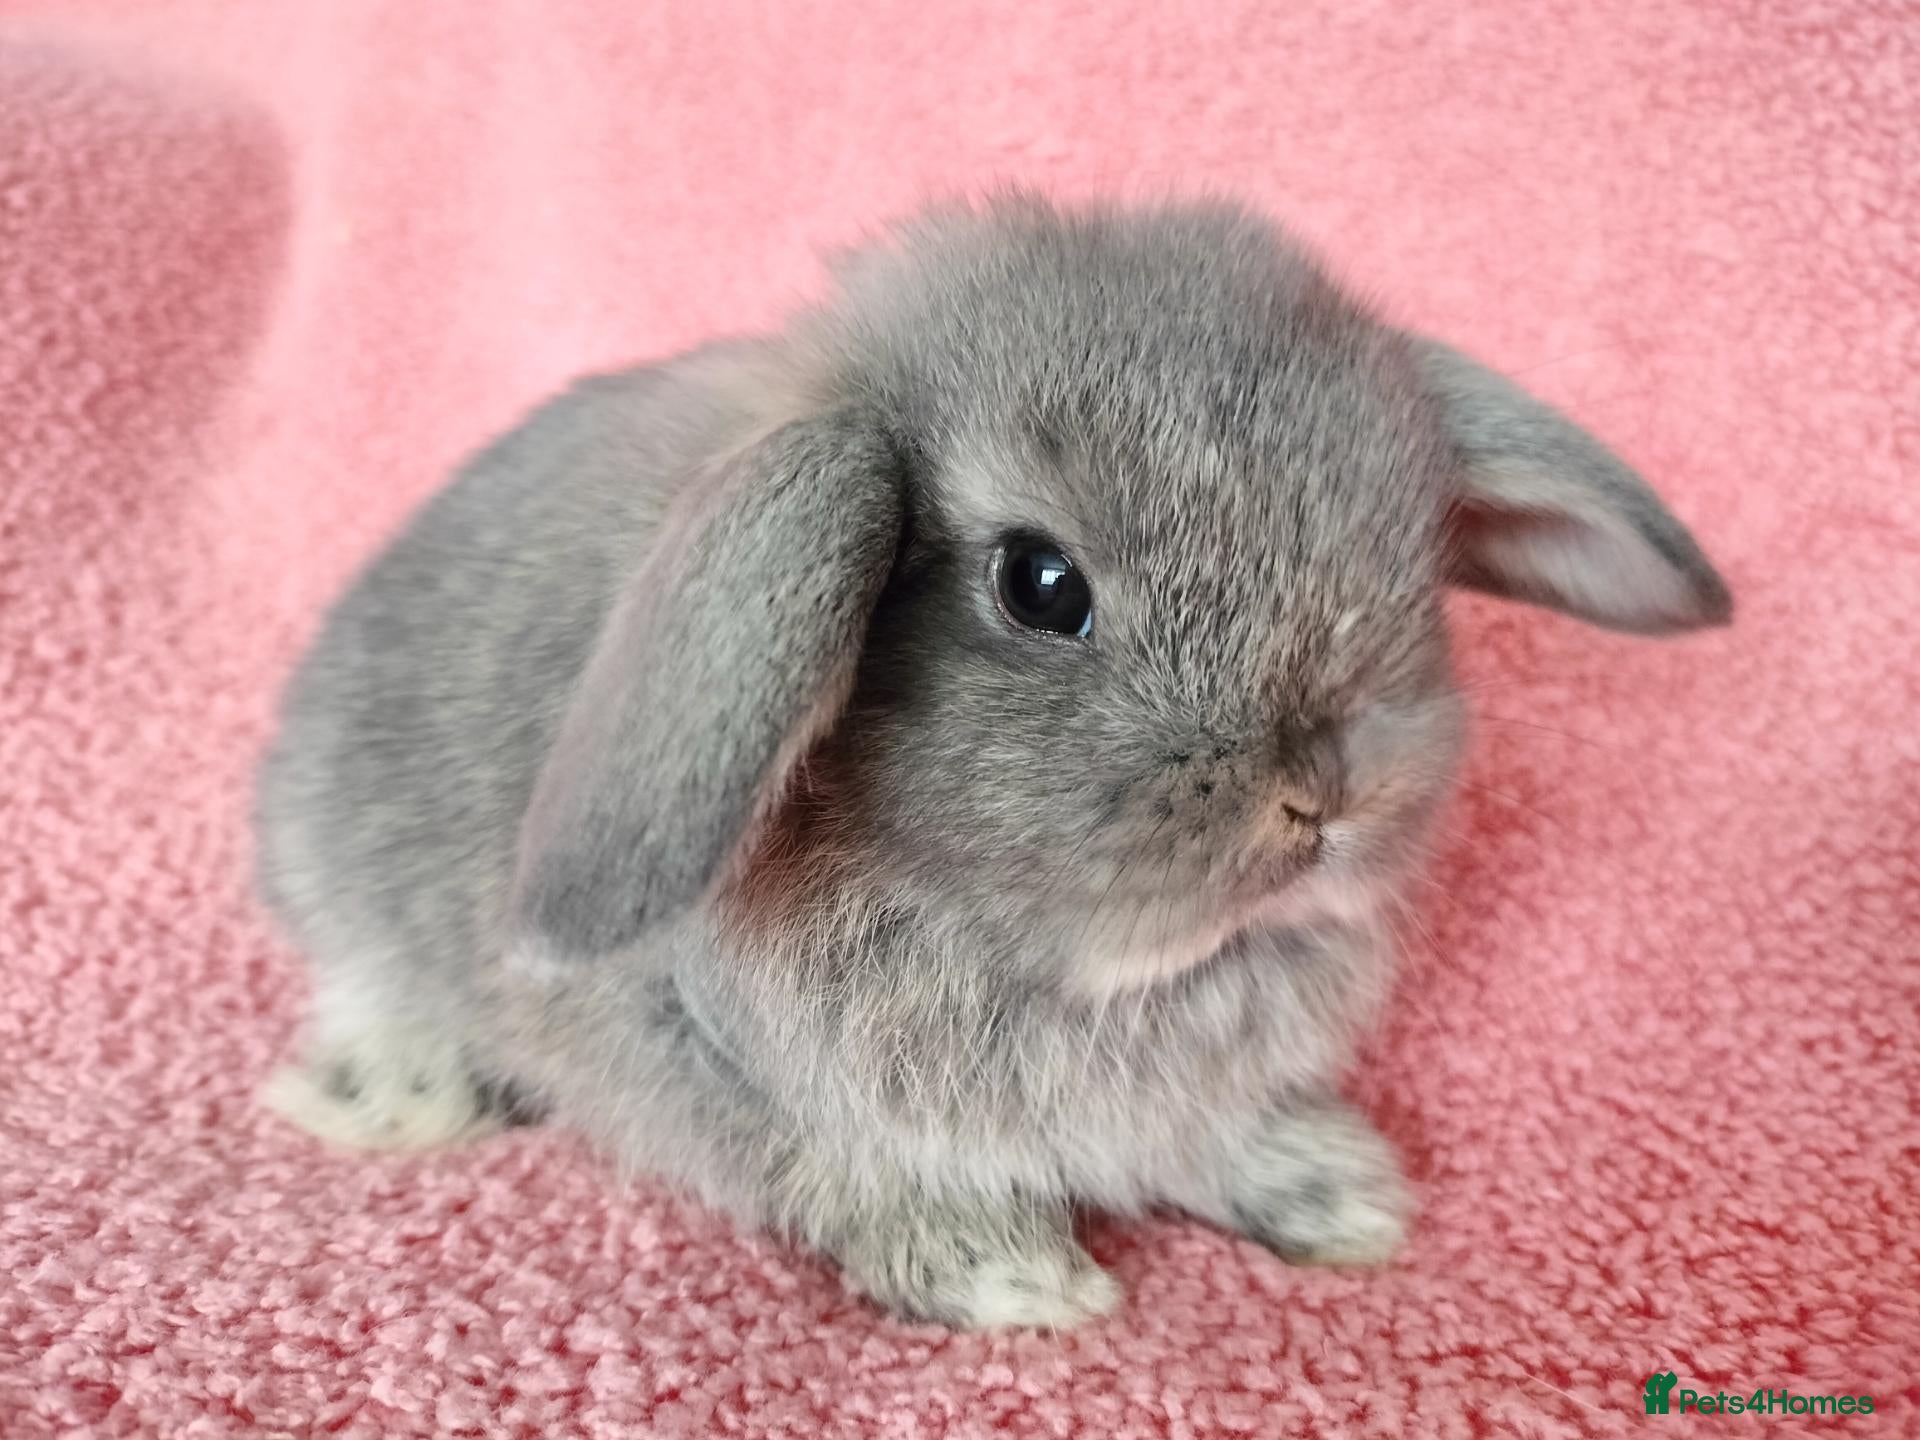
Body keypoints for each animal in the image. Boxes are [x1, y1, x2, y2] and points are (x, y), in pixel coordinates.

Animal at [256, 193, 1731, 1329]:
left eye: (1414, 565)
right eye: (1039, 584)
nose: (1322, 796)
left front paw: (1339, 1189)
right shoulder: (742, 1085)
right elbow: (850, 1180)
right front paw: (1018, 1281)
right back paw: (390, 1097)